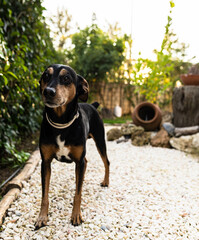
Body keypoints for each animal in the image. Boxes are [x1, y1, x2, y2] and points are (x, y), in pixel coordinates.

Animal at [35, 63, 109, 229]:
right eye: (46, 76)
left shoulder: (78, 160)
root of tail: (92, 105)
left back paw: (106, 182)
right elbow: (44, 194)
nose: (48, 91)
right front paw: (42, 217)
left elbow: (78, 193)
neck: (61, 123)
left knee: (106, 161)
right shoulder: (45, 162)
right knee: (86, 163)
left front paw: (76, 216)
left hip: (100, 140)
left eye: (66, 78)